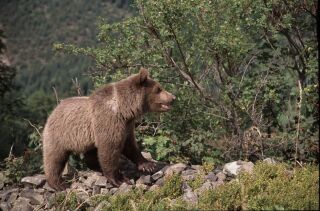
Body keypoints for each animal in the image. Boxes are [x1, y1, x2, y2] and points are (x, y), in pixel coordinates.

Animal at [42, 68, 175, 190]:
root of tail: (53, 111)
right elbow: (109, 149)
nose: (173, 97)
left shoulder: (126, 125)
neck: (124, 109)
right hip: (59, 134)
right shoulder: (109, 120)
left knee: (90, 154)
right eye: (159, 89)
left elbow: (130, 145)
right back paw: (58, 184)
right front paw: (119, 179)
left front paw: (148, 165)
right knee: (54, 158)